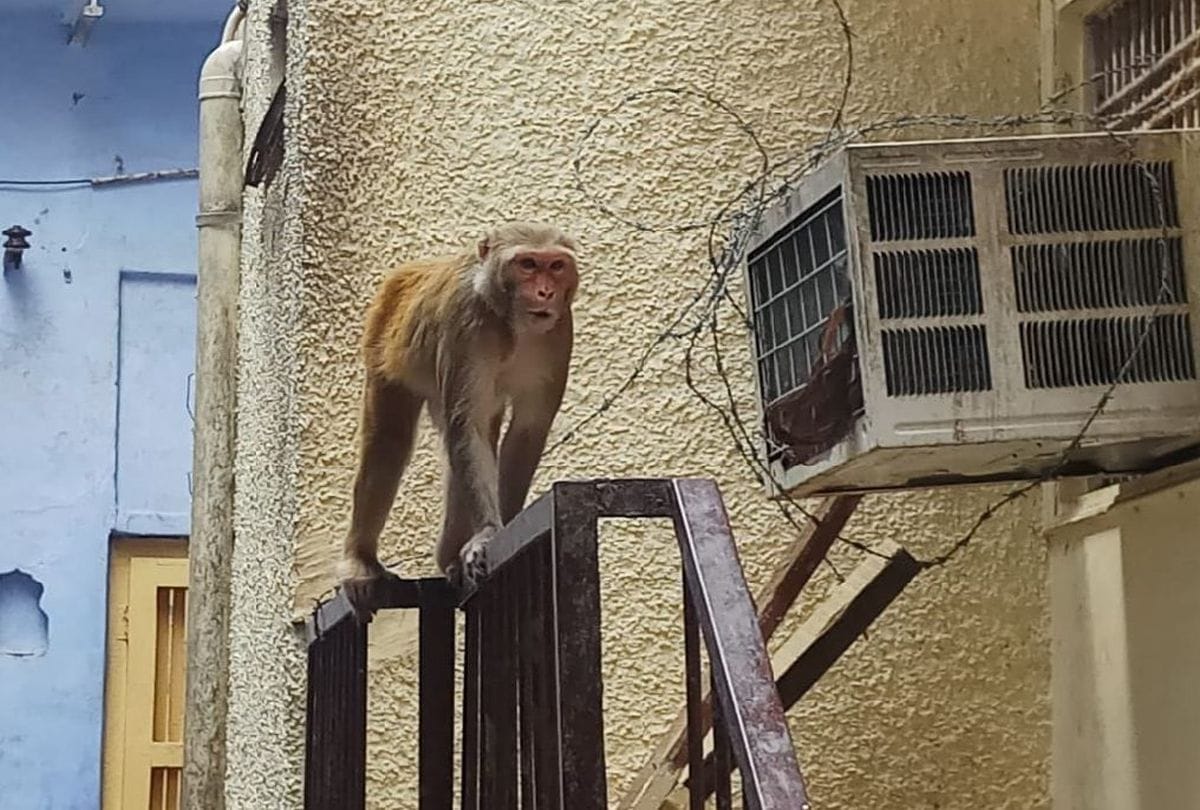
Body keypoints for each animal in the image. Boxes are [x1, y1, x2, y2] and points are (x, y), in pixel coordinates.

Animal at [337, 222, 579, 618]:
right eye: (527, 264)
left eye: (556, 266)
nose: (546, 292)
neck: (506, 320)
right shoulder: (464, 323)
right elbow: (467, 428)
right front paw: (489, 531)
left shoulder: (560, 331)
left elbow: (526, 432)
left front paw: (502, 526)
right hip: (383, 342)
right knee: (390, 441)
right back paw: (361, 561)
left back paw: (447, 555)